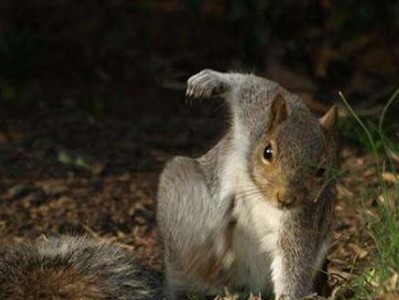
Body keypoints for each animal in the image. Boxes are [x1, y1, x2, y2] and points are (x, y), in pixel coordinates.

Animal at [156, 69, 338, 298]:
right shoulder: (255, 114)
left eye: (322, 170)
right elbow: (253, 85)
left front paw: (288, 294)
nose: (286, 198)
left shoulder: (303, 219)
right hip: (180, 190)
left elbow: (293, 262)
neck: (262, 196)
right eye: (267, 152)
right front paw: (210, 80)